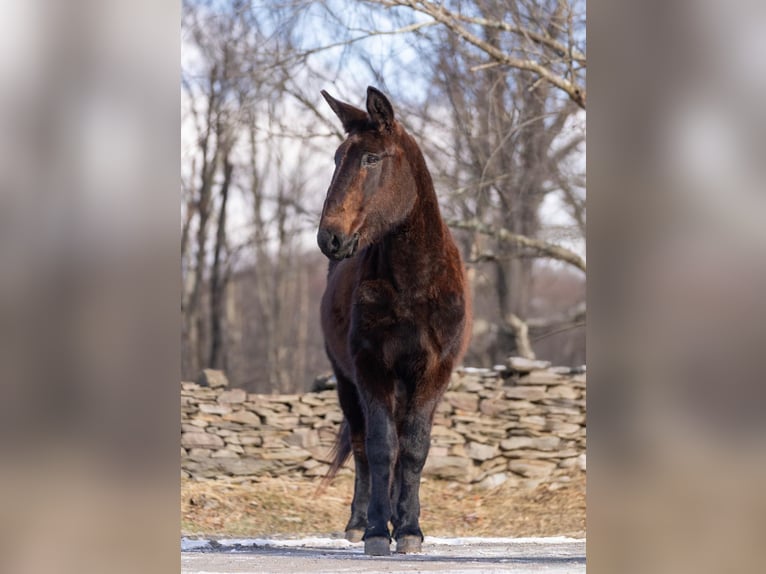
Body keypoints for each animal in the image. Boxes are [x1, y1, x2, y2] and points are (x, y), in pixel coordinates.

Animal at [318, 86, 474, 560]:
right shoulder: (371, 370)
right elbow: (381, 448)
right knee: (361, 447)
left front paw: (408, 529)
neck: (413, 282)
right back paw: (359, 523)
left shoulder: (433, 372)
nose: (330, 237)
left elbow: (414, 449)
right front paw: (374, 532)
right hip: (346, 383)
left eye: (372, 158)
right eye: (337, 158)